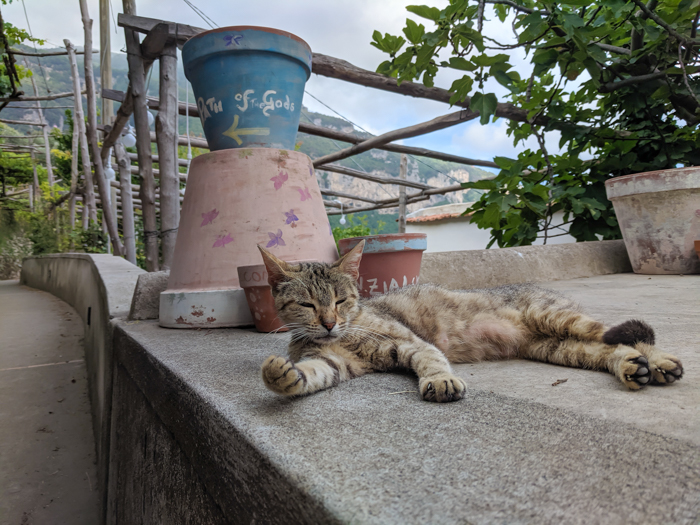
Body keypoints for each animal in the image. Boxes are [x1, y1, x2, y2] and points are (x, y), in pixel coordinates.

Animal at [258, 239, 684, 404]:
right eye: (307, 305)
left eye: (341, 301)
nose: (330, 323)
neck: (344, 334)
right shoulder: (334, 362)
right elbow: (310, 373)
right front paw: (282, 376)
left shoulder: (409, 341)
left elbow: (431, 360)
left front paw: (440, 380)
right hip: (558, 348)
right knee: (609, 349)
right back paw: (631, 367)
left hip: (558, 317)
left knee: (628, 335)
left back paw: (661, 362)